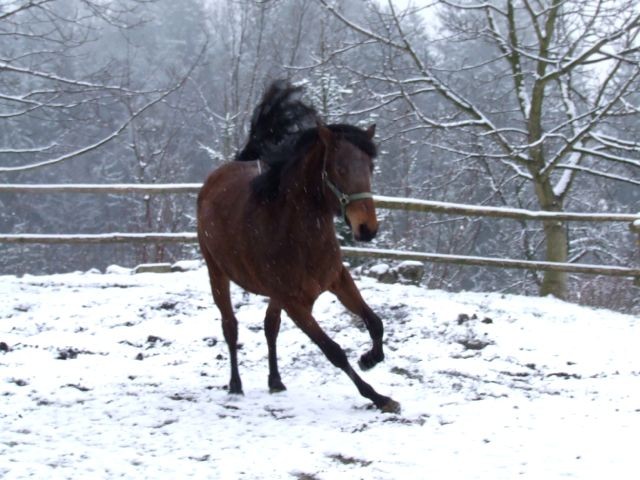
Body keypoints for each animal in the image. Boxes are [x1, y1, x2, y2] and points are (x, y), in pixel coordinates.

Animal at [196, 79, 400, 412]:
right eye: (340, 169)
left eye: (370, 167)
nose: (366, 229)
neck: (301, 235)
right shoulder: (295, 304)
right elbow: (334, 351)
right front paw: (379, 397)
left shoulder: (337, 279)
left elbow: (375, 322)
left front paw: (370, 359)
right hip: (218, 273)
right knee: (230, 326)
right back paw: (236, 385)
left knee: (270, 326)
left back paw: (276, 381)